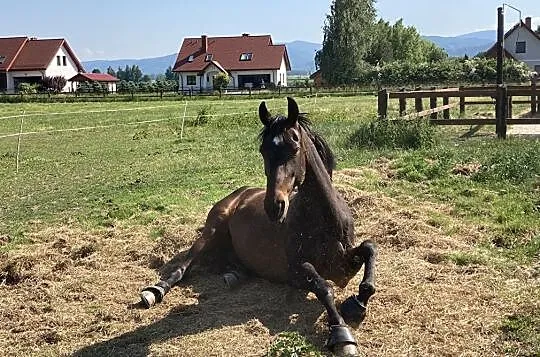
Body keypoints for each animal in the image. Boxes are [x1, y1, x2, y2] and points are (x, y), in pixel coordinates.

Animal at [139, 97, 376, 356]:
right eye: (263, 150)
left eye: (295, 145)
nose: (274, 207)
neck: (325, 223)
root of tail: (240, 194)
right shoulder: (297, 269)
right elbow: (323, 287)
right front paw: (342, 335)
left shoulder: (346, 260)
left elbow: (369, 249)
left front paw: (356, 304)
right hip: (211, 231)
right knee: (184, 265)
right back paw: (155, 291)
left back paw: (233, 276)